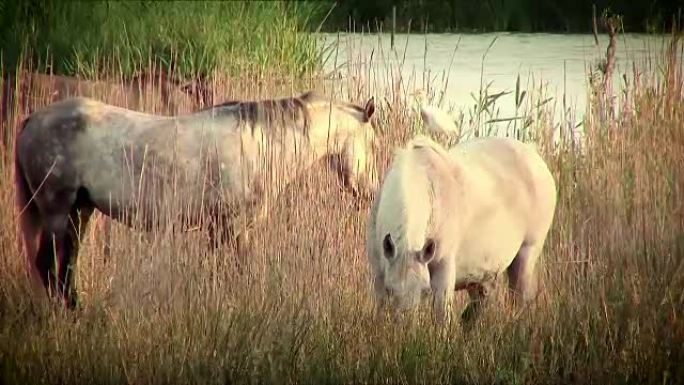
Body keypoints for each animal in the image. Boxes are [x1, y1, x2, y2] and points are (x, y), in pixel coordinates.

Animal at [366, 132, 560, 324]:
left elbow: (442, 316)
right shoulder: (379, 276)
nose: (405, 327)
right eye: (390, 289)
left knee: (521, 300)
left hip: (526, 257)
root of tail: (534, 156)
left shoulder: (443, 271)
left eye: (425, 291)